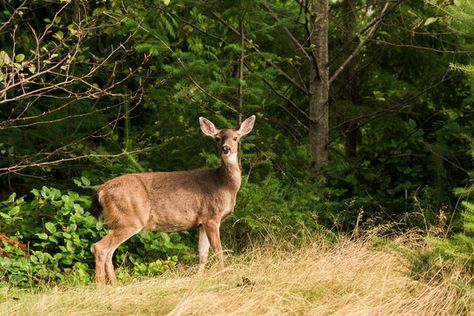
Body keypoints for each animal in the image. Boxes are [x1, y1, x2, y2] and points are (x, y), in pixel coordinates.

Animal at [91, 115, 258, 286]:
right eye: (217, 138)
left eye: (236, 138)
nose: (226, 148)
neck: (224, 185)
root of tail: (101, 190)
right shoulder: (212, 217)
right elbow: (219, 251)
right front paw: (223, 275)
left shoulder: (202, 221)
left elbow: (203, 254)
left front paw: (199, 278)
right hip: (130, 219)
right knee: (100, 247)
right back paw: (101, 287)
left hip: (119, 221)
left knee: (109, 251)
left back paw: (115, 286)